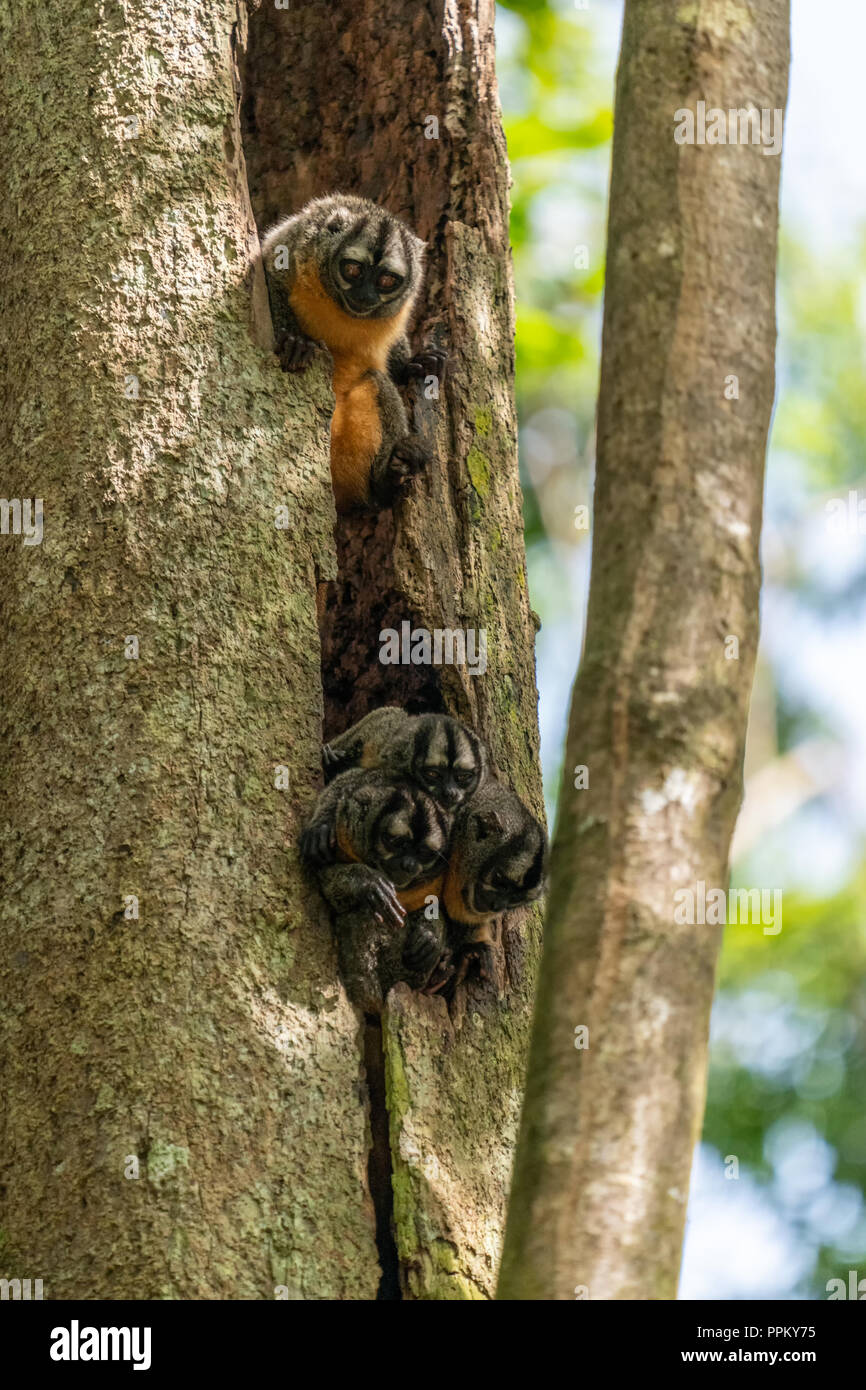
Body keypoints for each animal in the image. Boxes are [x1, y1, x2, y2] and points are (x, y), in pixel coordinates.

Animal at [261, 194, 447, 514]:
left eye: (386, 280)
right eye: (353, 270)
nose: (365, 297)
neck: (339, 303)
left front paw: (418, 364)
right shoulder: (294, 244)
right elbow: (270, 278)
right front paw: (296, 343)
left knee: (377, 382)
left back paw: (390, 478)